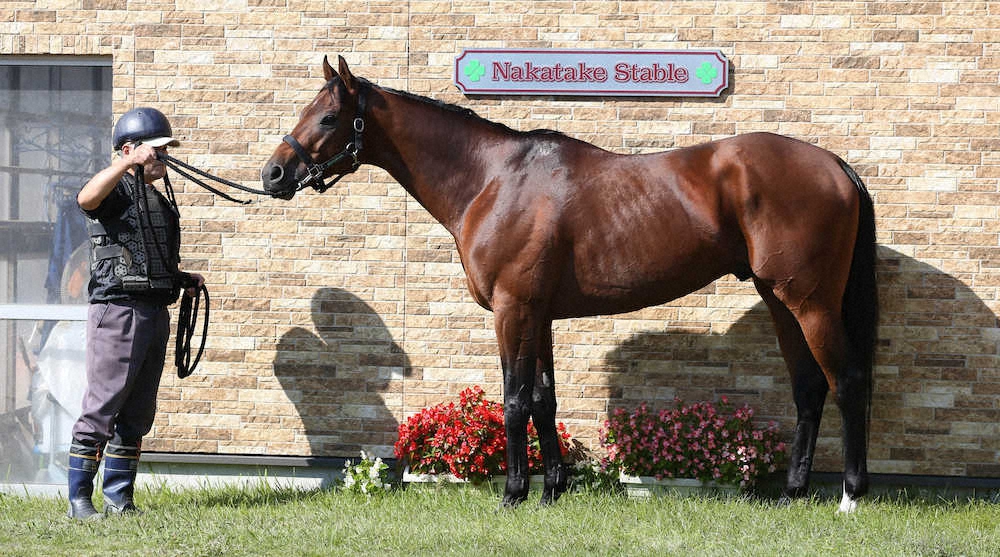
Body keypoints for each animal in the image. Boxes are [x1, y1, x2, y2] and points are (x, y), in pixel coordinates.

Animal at [262, 56, 880, 512]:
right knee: (809, 387)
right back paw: (794, 492)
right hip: (778, 299)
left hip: (811, 302)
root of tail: (834, 165)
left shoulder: (513, 309)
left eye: (328, 118)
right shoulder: (539, 314)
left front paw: (514, 494)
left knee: (847, 381)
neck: (492, 180)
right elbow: (543, 399)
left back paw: (850, 496)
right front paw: (552, 490)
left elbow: (514, 400)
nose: (273, 174)